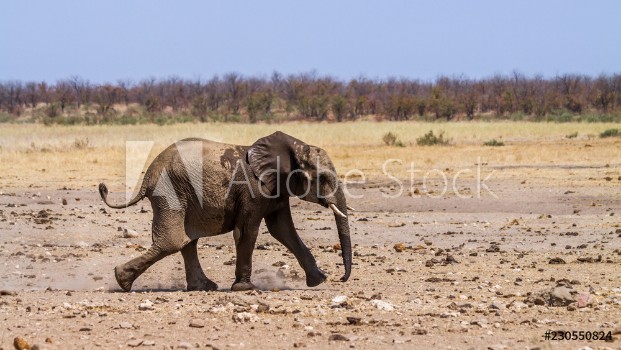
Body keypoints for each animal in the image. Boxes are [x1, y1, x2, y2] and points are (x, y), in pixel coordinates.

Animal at [98, 131, 352, 292]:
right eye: (323, 178)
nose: (341, 278)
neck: (292, 148)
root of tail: (148, 176)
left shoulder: (276, 190)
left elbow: (283, 231)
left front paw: (319, 281)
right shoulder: (253, 190)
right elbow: (247, 231)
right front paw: (245, 288)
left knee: (186, 241)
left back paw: (203, 287)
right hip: (169, 192)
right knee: (172, 241)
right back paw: (122, 281)